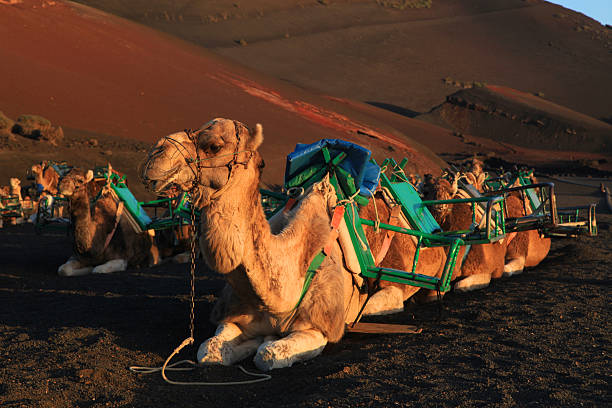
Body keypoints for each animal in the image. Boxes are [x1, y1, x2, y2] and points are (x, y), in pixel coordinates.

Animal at [139, 117, 444, 370]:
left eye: (213, 146)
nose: (154, 155)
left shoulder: (319, 326)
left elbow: (268, 355)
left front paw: (264, 343)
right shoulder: (233, 314)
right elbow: (210, 350)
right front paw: (252, 340)